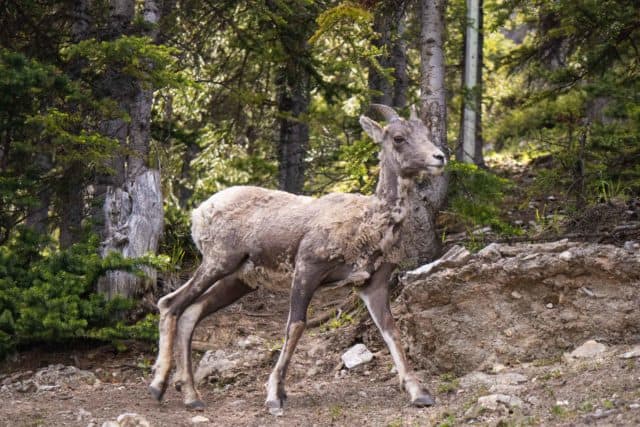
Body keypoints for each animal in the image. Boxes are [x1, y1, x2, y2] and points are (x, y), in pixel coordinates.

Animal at [149, 104, 444, 414]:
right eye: (398, 138)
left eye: (427, 133)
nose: (439, 157)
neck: (370, 226)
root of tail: (198, 213)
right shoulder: (307, 267)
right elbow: (296, 325)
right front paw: (274, 395)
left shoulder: (373, 283)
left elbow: (391, 329)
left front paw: (420, 393)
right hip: (218, 261)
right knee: (170, 303)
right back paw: (158, 385)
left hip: (239, 280)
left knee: (190, 311)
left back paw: (191, 395)